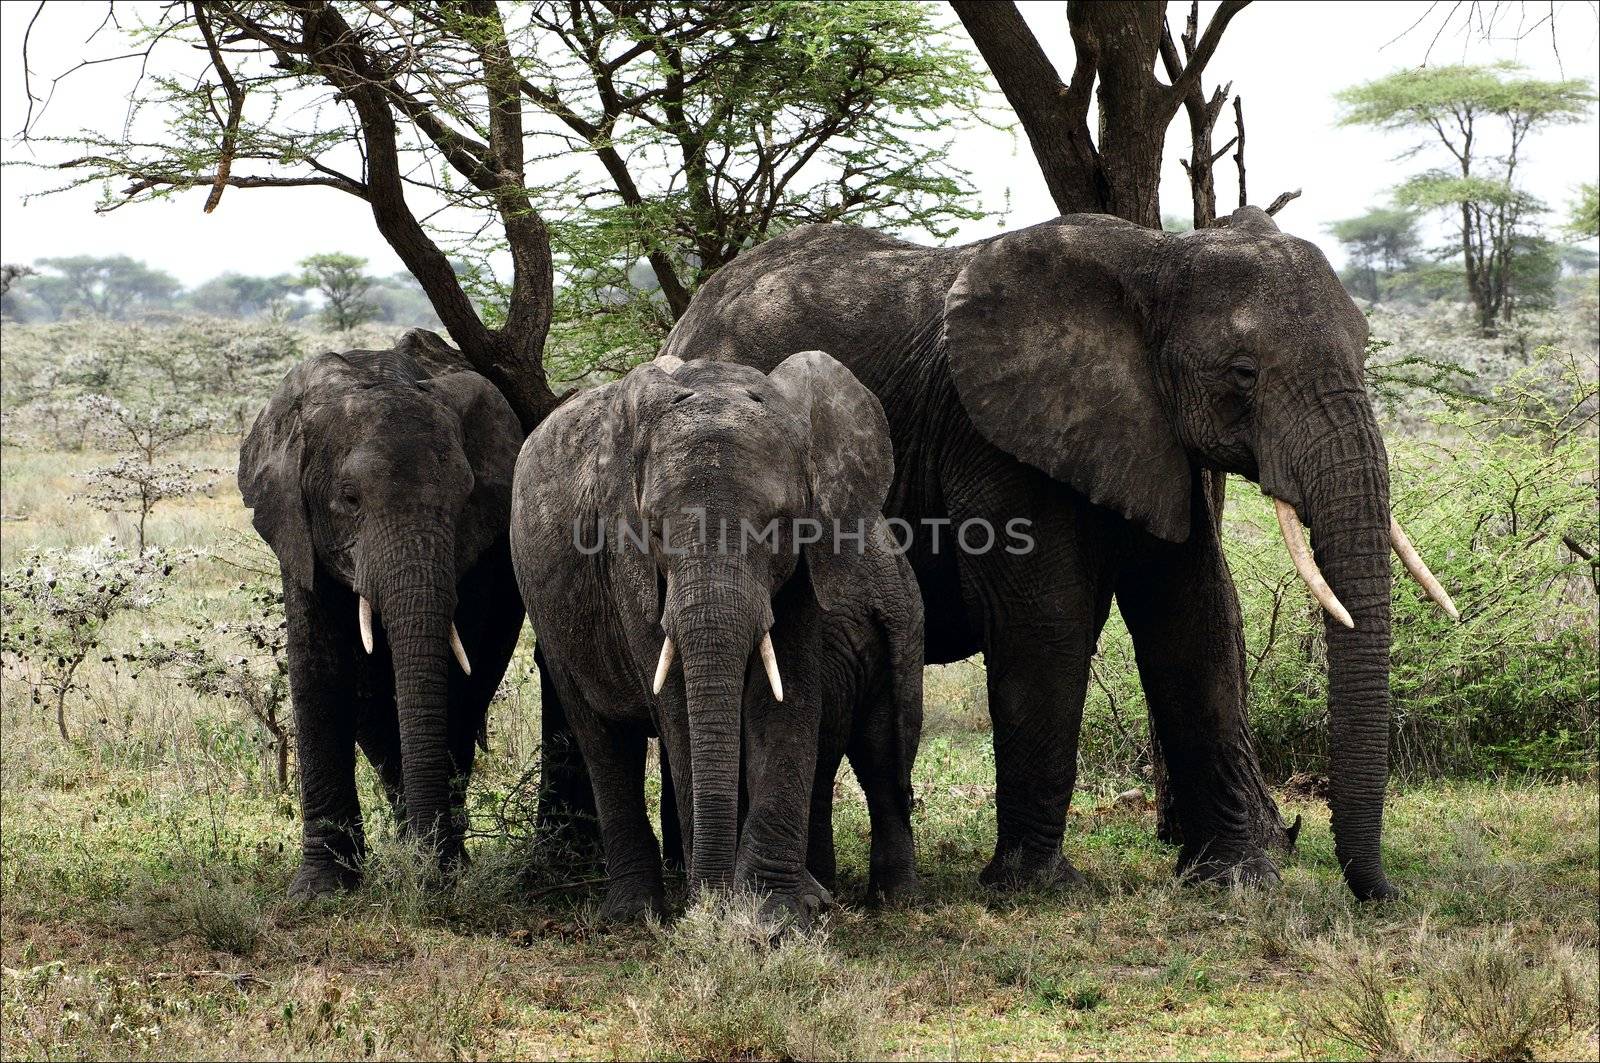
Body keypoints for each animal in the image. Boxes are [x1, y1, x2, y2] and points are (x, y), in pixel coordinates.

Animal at [240, 328, 524, 890]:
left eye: (465, 498)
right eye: (349, 499)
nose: (434, 875)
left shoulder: (478, 552)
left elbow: (454, 669)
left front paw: (441, 869)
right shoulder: (296, 530)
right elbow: (318, 668)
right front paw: (321, 889)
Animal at [512, 350, 928, 922]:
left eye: (779, 525)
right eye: (655, 529)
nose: (710, 896)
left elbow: (787, 695)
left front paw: (777, 914)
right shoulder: (627, 562)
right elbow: (678, 703)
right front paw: (721, 908)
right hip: (549, 615)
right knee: (603, 743)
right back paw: (633, 912)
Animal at [656, 204, 1459, 896]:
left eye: (1364, 352)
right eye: (1243, 373)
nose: (1382, 892)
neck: (1160, 256)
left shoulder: (1148, 432)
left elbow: (1193, 622)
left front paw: (1238, 879)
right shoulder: (993, 435)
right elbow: (1046, 623)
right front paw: (1036, 887)